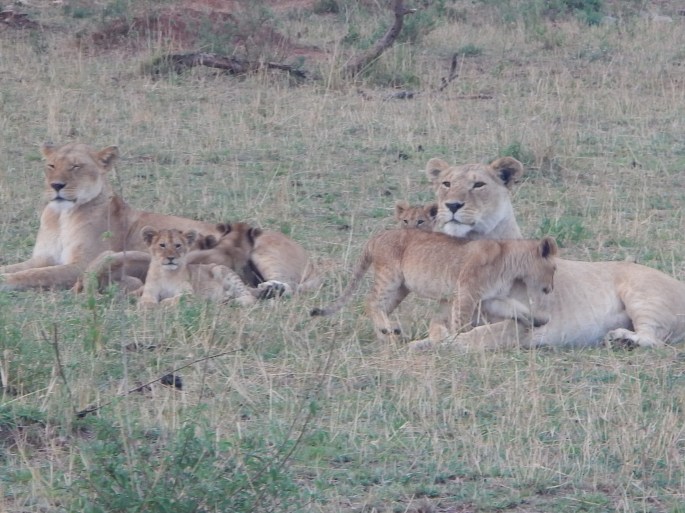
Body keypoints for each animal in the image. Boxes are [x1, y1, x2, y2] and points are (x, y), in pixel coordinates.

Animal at [311, 229, 558, 342]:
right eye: (554, 268)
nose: (551, 288)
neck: (511, 260)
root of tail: (377, 236)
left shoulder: (490, 298)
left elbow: (516, 308)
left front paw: (537, 320)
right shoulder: (466, 293)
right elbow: (461, 321)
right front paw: (460, 337)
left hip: (401, 288)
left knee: (380, 307)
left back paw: (387, 335)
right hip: (389, 277)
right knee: (370, 301)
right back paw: (387, 331)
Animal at [421, 156, 685, 349]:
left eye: (478, 185)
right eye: (446, 184)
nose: (452, 205)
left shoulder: (523, 324)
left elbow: (470, 337)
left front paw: (438, 344)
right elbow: (435, 328)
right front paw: (423, 342)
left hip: (643, 295)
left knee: (653, 339)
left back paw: (622, 338)